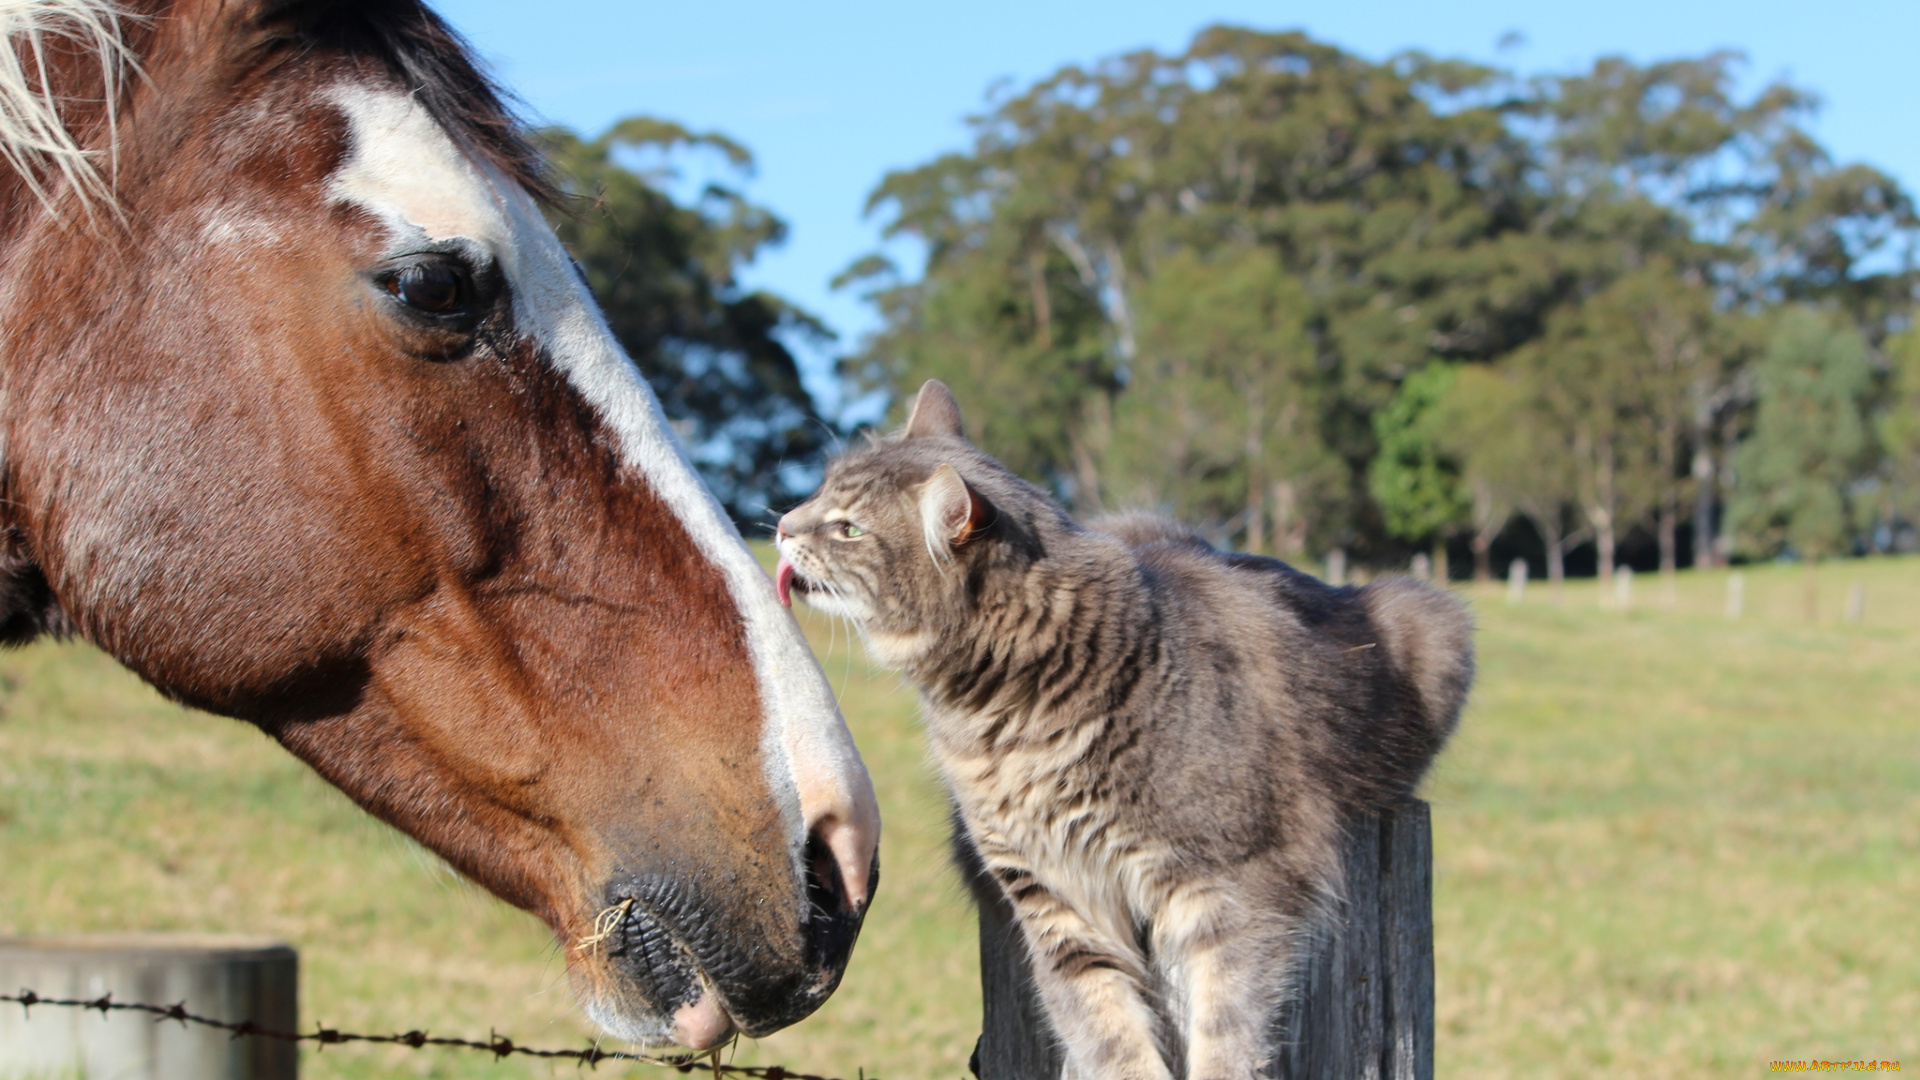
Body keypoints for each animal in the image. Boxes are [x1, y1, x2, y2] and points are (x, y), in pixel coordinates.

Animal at [771, 382, 1459, 1068]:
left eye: (847, 528)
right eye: (820, 494)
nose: (780, 525)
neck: (1003, 724)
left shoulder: (1241, 885)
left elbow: (1226, 1029)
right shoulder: (1054, 900)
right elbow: (1108, 1033)